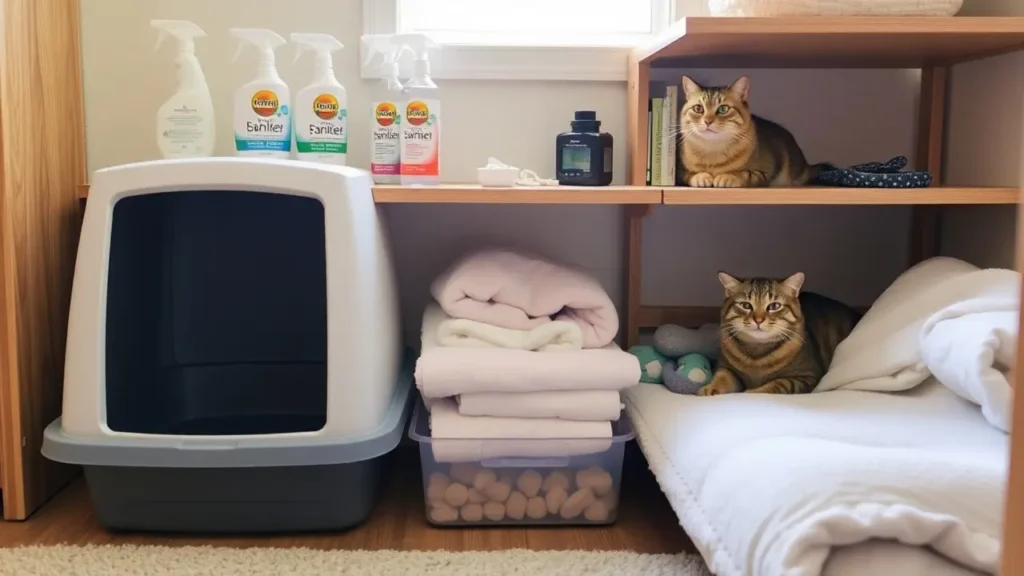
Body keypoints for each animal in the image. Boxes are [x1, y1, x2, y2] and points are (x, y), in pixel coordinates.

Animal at [675, 75, 819, 187]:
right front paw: (701, 176)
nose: (707, 121)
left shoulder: (763, 173)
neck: (712, 151)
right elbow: (689, 174)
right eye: (698, 108)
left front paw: (727, 177)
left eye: (723, 109)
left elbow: (744, 173)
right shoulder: (679, 171)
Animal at [700, 270, 860, 393]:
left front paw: (752, 392)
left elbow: (778, 383)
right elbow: (722, 377)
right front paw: (710, 389)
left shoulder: (806, 377)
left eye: (774, 306)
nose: (758, 320)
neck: (757, 355)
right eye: (745, 305)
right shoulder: (725, 367)